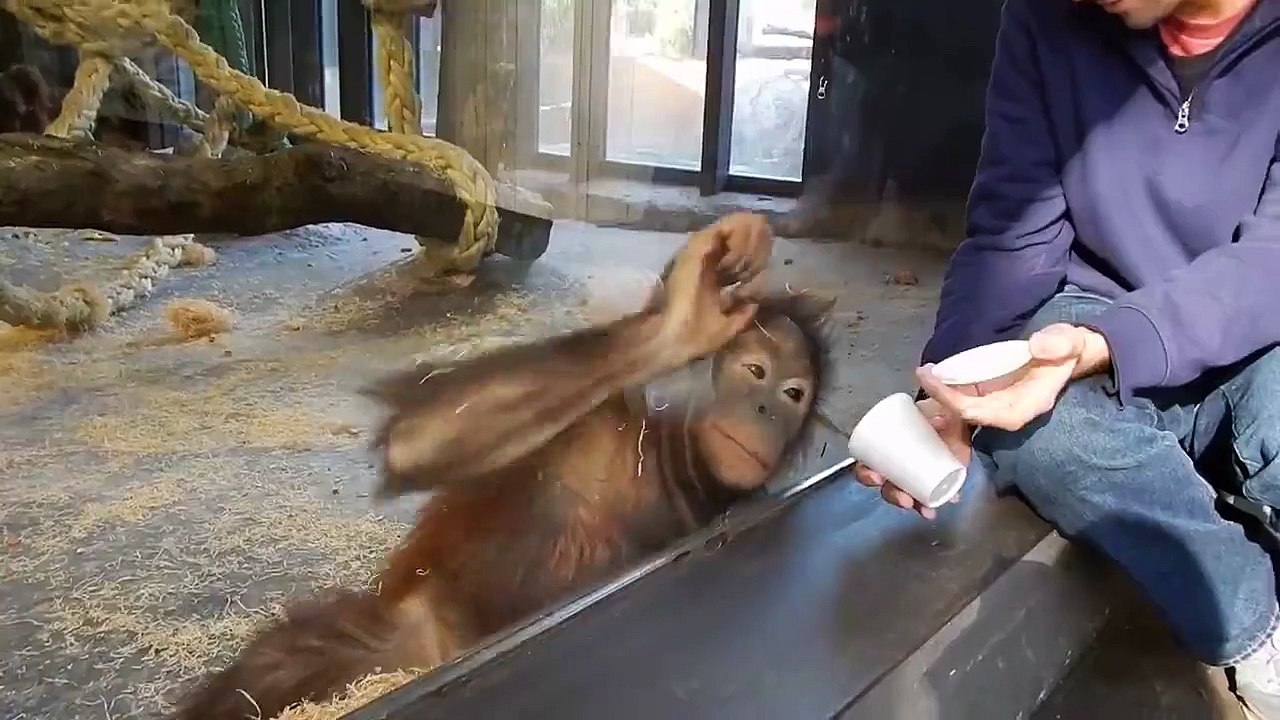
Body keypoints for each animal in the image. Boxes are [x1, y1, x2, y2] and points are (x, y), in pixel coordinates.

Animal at [171, 213, 837, 720]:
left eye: (792, 394)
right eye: (754, 371)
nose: (764, 408)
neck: (670, 462)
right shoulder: (598, 425)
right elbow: (420, 438)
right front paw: (685, 316)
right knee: (275, 667)